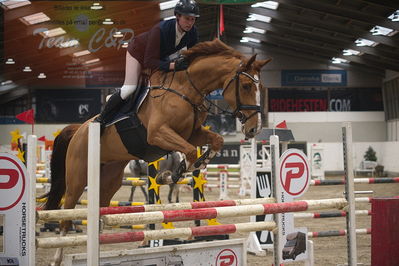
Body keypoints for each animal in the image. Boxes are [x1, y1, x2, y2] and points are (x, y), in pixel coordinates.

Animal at [42, 38, 270, 264]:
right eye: (246, 86)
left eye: (261, 88)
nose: (254, 129)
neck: (185, 90)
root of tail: (78, 130)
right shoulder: (158, 134)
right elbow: (189, 153)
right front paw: (173, 173)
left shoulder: (192, 133)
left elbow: (216, 141)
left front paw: (197, 164)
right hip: (78, 177)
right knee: (66, 216)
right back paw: (57, 257)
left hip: (109, 179)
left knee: (100, 214)